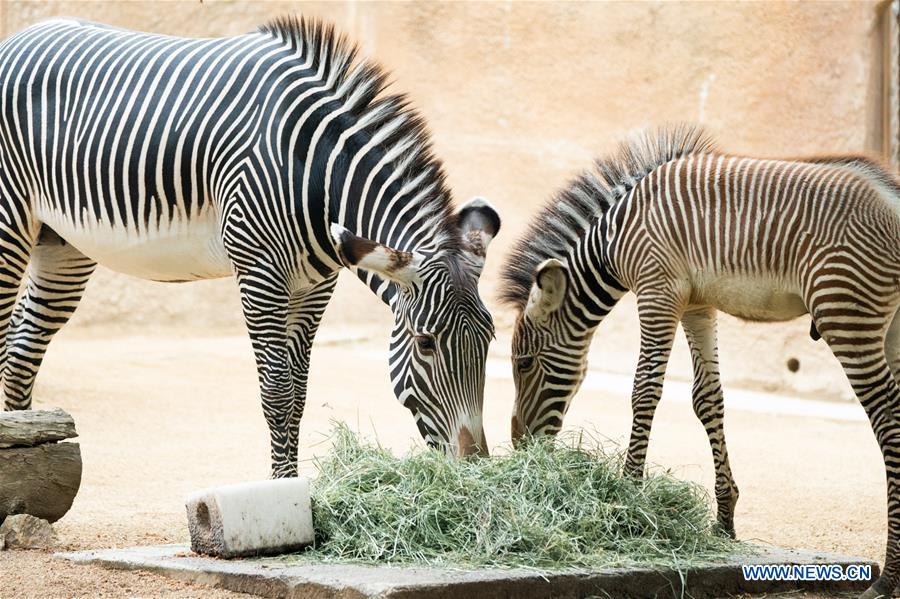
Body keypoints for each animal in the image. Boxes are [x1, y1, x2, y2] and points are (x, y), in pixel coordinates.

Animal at [0, 18, 500, 476]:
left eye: (490, 338)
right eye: (426, 343)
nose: (475, 465)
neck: (312, 171)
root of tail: (19, 37)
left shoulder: (314, 286)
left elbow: (298, 393)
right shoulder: (259, 273)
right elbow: (277, 392)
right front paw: (282, 489)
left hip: (62, 244)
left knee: (23, 347)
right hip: (10, 220)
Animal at [500, 124, 900, 596]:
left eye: (524, 363)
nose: (520, 444)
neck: (615, 236)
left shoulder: (657, 291)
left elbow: (645, 389)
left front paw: (628, 495)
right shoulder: (697, 305)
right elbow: (707, 398)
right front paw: (724, 520)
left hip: (845, 311)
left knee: (887, 417)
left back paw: (889, 575)